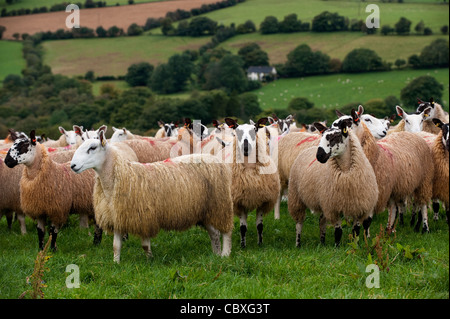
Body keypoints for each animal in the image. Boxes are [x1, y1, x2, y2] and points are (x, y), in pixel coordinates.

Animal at [71, 131, 232, 264]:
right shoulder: (117, 216)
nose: (73, 166)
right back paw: (216, 254)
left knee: (226, 232)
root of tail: (212, 157)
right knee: (214, 233)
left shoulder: (144, 217)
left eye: (92, 148)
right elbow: (116, 246)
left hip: (220, 203)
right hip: (205, 210)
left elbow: (144, 245)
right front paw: (116, 263)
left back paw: (225, 254)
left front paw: (150, 261)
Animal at [288, 120, 380, 248]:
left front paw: (355, 245)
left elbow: (356, 230)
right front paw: (337, 247)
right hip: (296, 197)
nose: (319, 156)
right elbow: (338, 231)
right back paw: (298, 244)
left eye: (335, 137)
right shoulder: (333, 207)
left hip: (322, 200)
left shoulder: (359, 206)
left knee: (321, 221)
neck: (346, 173)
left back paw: (322, 243)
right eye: (322, 136)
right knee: (299, 223)